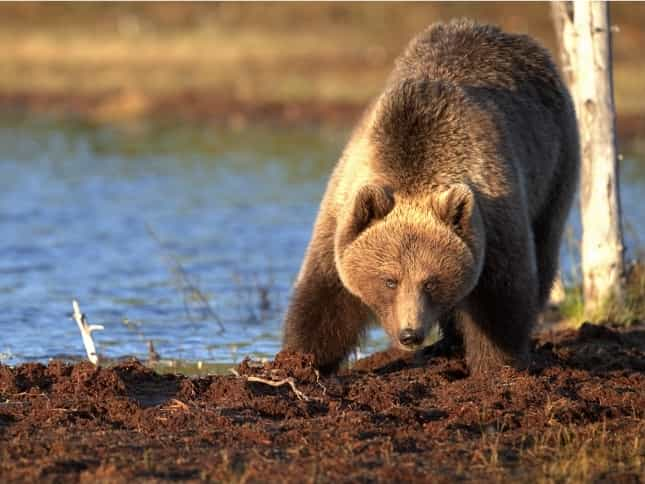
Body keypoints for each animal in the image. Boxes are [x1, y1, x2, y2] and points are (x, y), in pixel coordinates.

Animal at [282, 19, 580, 374]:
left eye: (431, 281)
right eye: (389, 280)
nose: (410, 334)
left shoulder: (494, 213)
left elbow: (501, 296)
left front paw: (499, 366)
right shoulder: (343, 205)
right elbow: (326, 294)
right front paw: (298, 362)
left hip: (556, 165)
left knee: (545, 247)